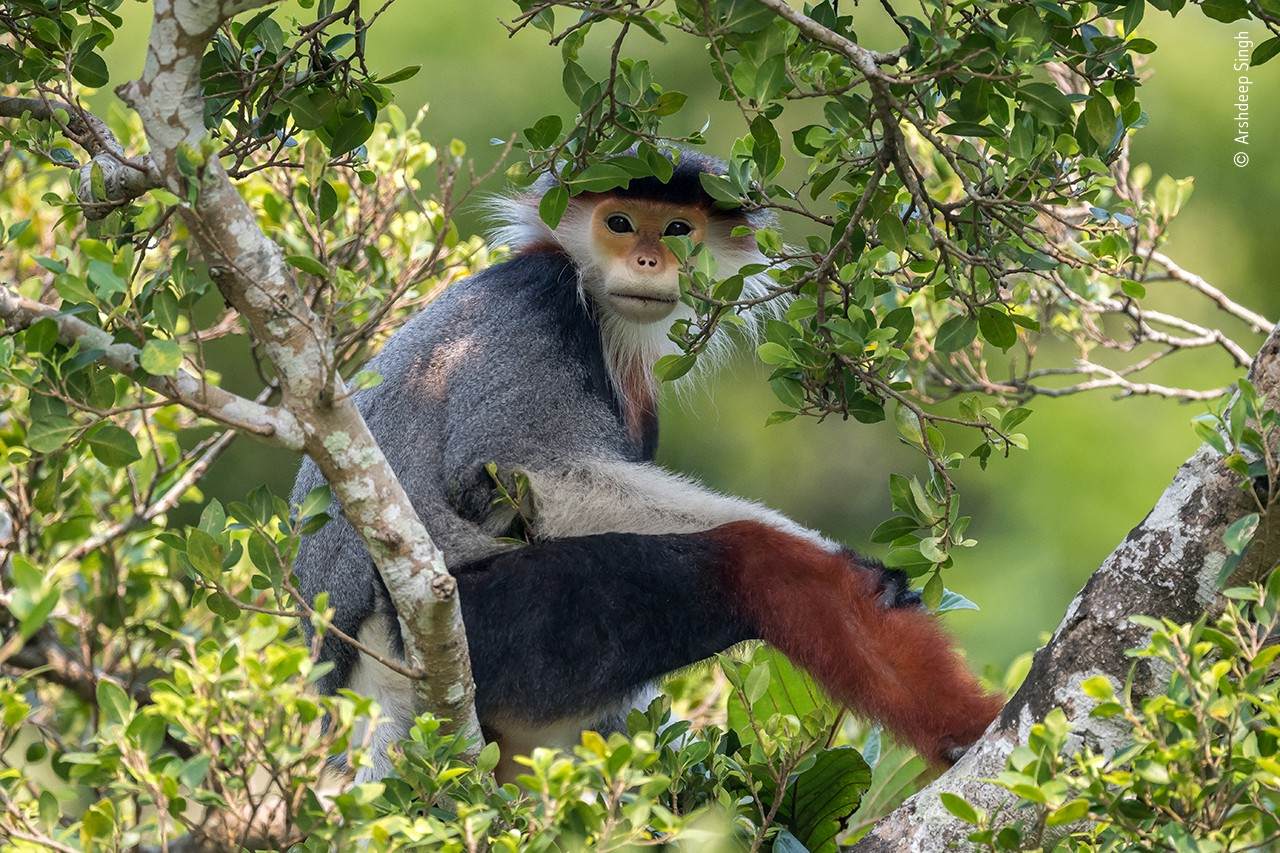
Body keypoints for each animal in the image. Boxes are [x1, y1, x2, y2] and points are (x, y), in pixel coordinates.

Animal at [290, 147, 998, 778]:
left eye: (678, 229)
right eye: (621, 223)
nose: (649, 259)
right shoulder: (535, 302)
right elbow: (518, 464)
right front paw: (842, 559)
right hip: (485, 627)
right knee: (754, 561)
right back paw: (968, 725)